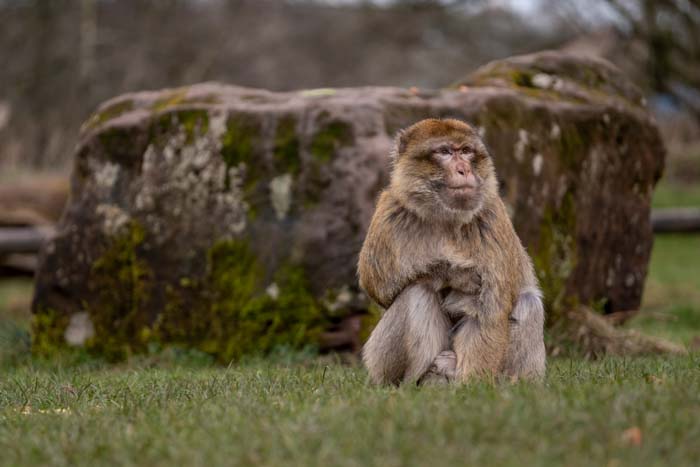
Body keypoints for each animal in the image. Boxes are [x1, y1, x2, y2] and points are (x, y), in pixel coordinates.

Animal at [356, 119, 548, 386]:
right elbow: (378, 285)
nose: (464, 170)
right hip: (379, 363)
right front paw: (454, 274)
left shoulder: (491, 218)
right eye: (445, 152)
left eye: (466, 151)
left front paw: (472, 385)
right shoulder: (389, 215)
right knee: (418, 291)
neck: (445, 218)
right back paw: (414, 384)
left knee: (529, 302)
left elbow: (490, 312)